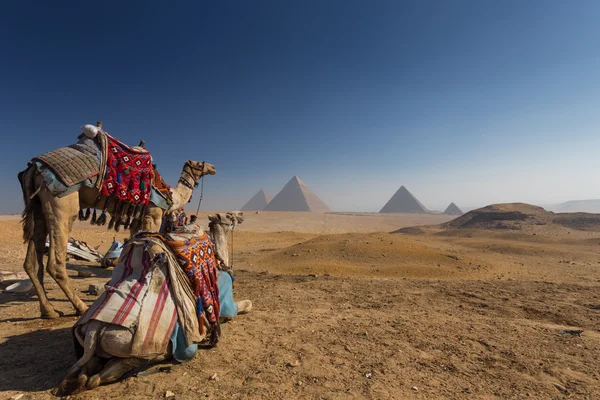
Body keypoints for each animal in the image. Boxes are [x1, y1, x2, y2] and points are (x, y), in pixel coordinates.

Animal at [17, 122, 217, 318]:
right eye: (198, 163)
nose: (213, 167)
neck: (172, 195)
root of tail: (33, 169)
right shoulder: (153, 214)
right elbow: (153, 246)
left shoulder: (138, 220)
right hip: (61, 202)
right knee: (55, 262)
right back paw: (80, 307)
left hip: (38, 207)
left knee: (32, 261)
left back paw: (48, 310)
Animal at [61, 212, 253, 394]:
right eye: (230, 216)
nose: (241, 216)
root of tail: (94, 329)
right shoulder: (226, 306)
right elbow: (246, 305)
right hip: (134, 347)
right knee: (105, 374)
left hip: (93, 343)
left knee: (89, 367)